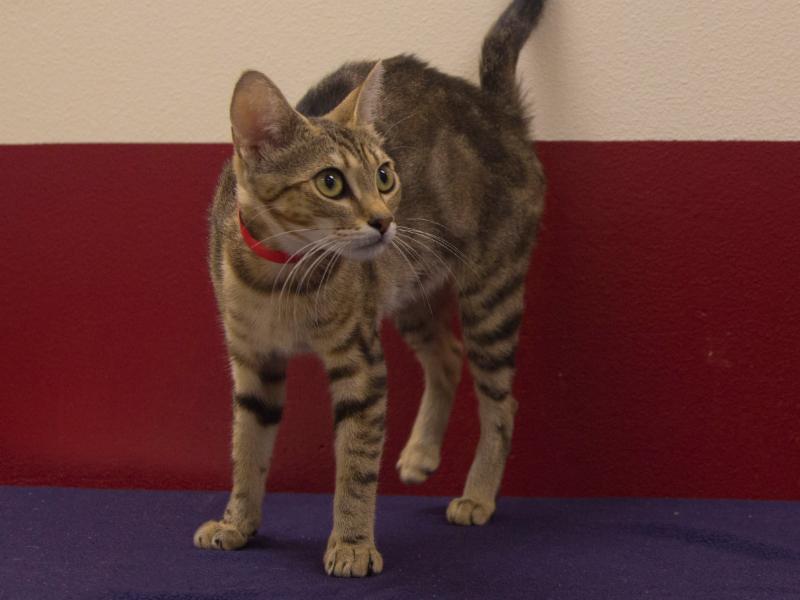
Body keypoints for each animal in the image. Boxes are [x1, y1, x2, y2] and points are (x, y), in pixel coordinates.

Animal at [194, 0, 547, 577]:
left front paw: (353, 545)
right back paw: (422, 453)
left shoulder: (360, 365)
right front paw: (237, 522)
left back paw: (477, 495)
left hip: (490, 293)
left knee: (502, 402)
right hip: (409, 290)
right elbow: (247, 449)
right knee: (447, 357)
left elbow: (355, 468)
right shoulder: (252, 362)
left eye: (385, 175)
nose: (385, 221)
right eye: (330, 182)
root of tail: (498, 110)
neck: (281, 280)